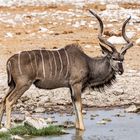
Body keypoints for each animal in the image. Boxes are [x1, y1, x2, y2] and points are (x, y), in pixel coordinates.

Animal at [0, 10, 133, 130]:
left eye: (122, 59)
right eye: (114, 58)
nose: (121, 70)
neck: (88, 63)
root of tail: (10, 60)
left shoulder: (71, 87)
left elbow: (74, 105)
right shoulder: (76, 84)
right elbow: (79, 106)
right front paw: (82, 128)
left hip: (13, 85)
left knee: (3, 100)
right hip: (23, 84)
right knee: (9, 101)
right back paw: (8, 127)